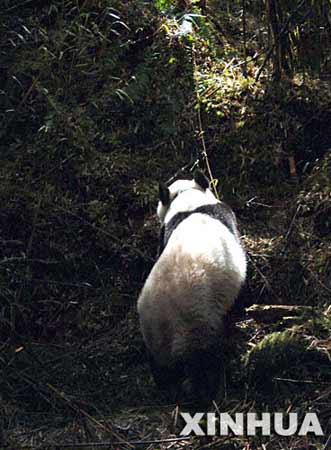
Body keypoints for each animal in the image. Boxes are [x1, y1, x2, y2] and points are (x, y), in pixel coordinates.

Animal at [137, 171, 246, 406]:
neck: (188, 201)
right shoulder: (226, 216)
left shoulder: (164, 234)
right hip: (198, 321)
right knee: (204, 363)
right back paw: (207, 395)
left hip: (153, 335)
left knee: (161, 369)